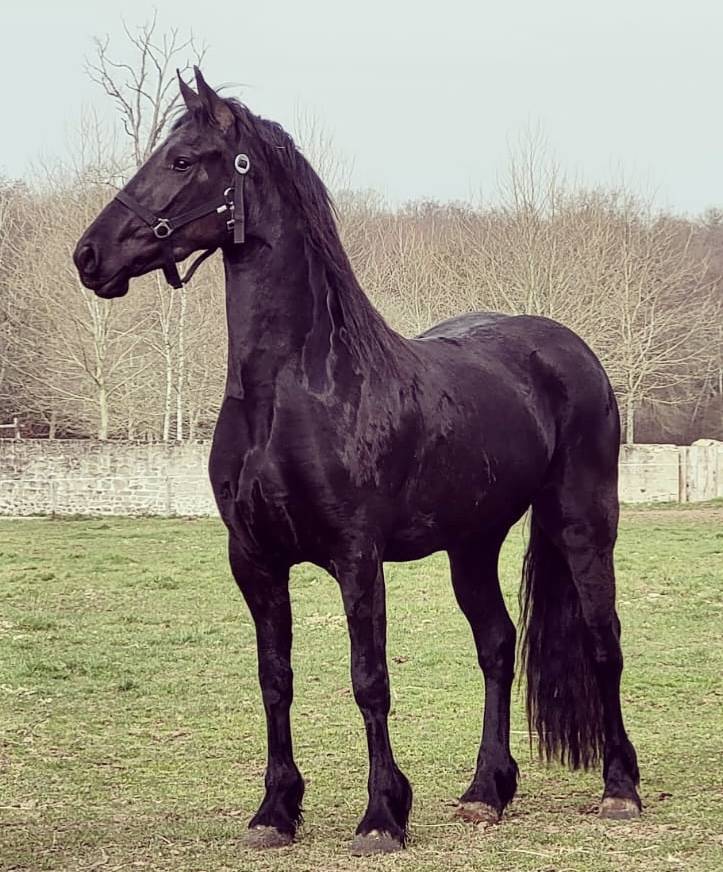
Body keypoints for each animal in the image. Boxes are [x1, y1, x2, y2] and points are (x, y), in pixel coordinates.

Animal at [74, 67, 641, 855]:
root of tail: (568, 349)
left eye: (183, 160)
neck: (296, 387)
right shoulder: (253, 559)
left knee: (601, 640)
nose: (89, 256)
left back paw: (619, 788)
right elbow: (274, 679)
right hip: (472, 543)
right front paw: (275, 811)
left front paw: (381, 816)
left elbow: (369, 680)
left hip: (582, 524)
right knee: (497, 644)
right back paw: (484, 792)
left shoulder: (356, 556)